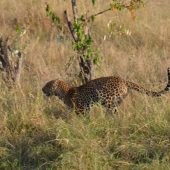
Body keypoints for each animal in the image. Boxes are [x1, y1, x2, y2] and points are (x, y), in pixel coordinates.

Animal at [42, 67, 170, 114]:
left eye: (47, 85)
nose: (42, 89)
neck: (63, 92)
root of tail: (123, 80)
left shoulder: (81, 109)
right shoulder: (85, 109)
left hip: (108, 100)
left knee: (113, 113)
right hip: (116, 101)